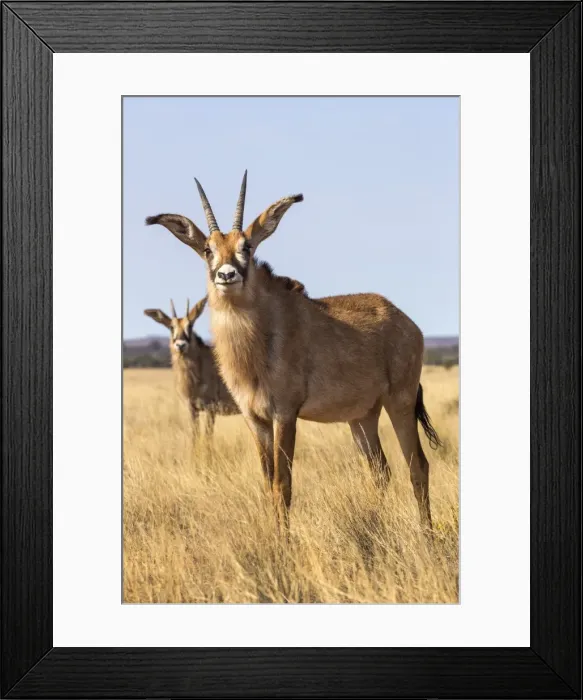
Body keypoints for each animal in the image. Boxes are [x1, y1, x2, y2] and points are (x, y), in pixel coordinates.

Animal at [144, 297, 240, 438]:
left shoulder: (211, 408)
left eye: (190, 325)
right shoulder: (192, 409)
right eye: (171, 327)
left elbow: (207, 438)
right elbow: (195, 437)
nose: (181, 345)